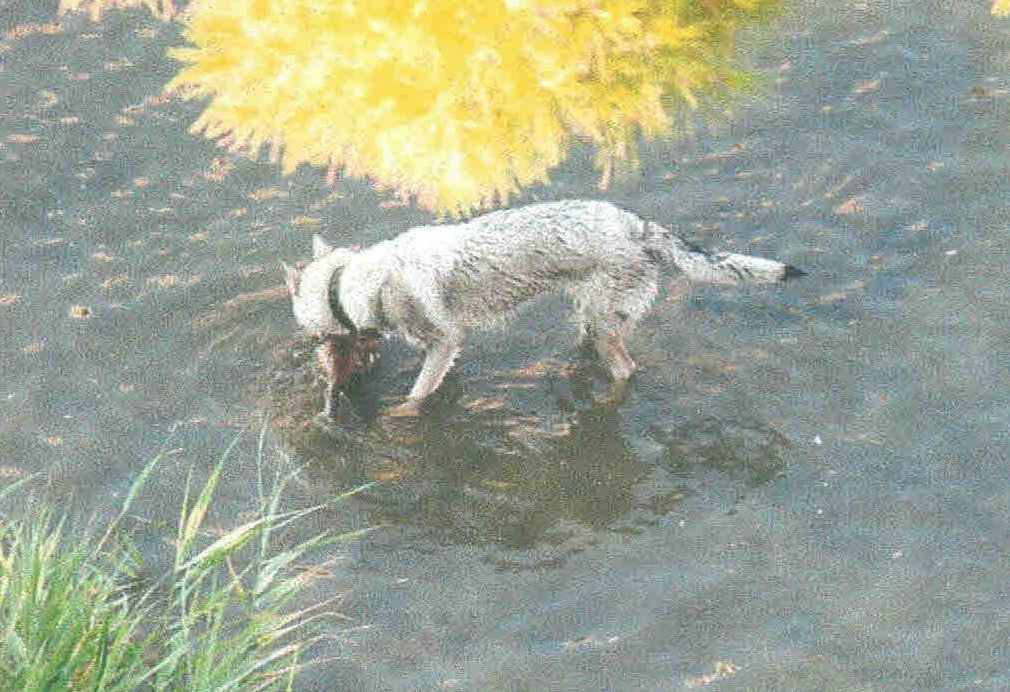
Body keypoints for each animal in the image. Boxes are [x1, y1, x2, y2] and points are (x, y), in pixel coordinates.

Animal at [284, 200, 803, 416]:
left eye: (313, 336)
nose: (312, 352)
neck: (355, 283)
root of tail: (637, 226)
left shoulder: (445, 340)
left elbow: (415, 395)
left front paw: (400, 416)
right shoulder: (445, 347)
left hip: (604, 327)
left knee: (627, 372)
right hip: (588, 316)